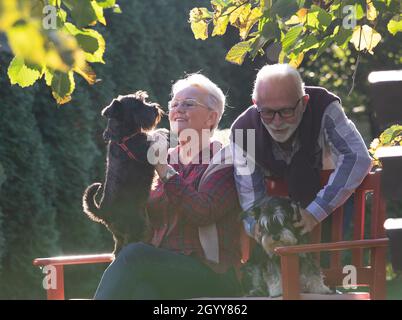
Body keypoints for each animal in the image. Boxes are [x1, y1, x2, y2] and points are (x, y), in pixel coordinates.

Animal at [83, 91, 165, 254]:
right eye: (138, 104)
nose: (155, 108)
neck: (123, 136)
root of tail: (103, 212)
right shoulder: (145, 149)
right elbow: (155, 137)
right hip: (140, 226)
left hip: (120, 236)